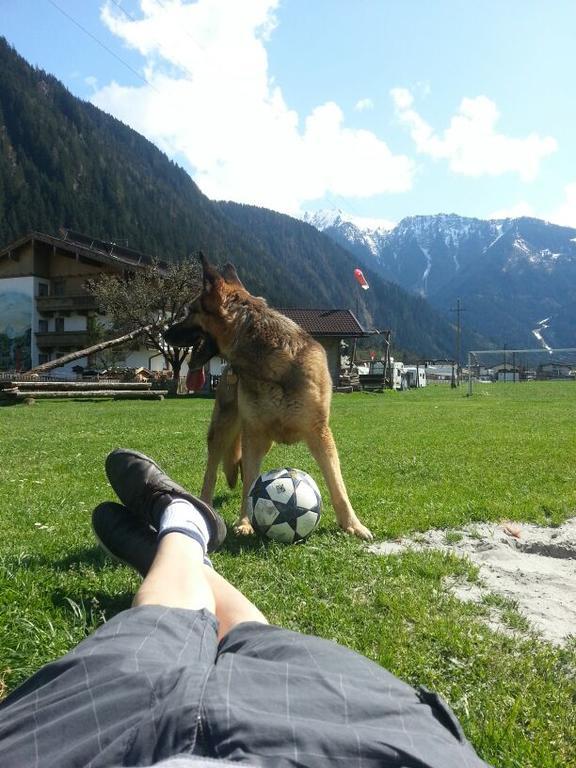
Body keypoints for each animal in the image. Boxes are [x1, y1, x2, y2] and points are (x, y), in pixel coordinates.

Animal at [164, 254, 372, 540]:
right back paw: (205, 506)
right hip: (223, 429)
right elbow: (250, 484)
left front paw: (353, 524)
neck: (270, 361)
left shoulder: (319, 433)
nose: (164, 333)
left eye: (190, 311)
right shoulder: (254, 433)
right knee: (212, 473)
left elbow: (337, 484)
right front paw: (245, 522)